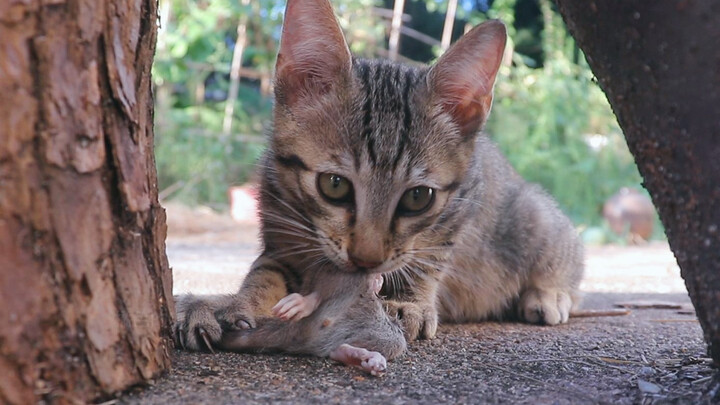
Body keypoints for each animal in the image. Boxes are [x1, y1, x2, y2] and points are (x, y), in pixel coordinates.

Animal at [174, 0, 584, 350]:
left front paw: (408, 301)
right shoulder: (280, 235)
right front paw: (238, 303)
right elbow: (264, 273)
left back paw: (549, 293)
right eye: (334, 185)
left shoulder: (464, 203)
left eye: (418, 197)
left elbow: (431, 255)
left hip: (531, 215)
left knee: (567, 243)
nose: (366, 260)